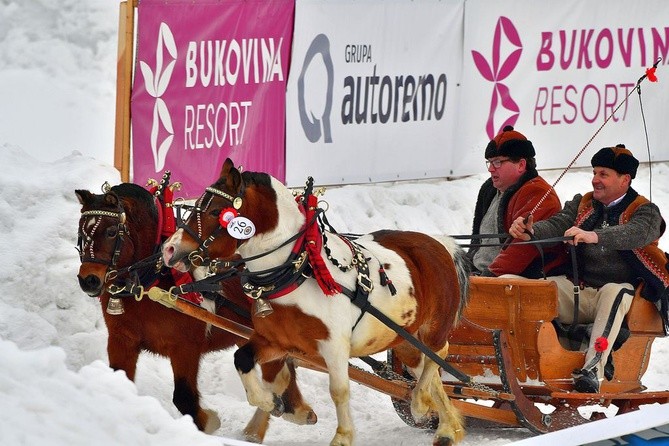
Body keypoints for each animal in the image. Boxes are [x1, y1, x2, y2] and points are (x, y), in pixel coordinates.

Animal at [74, 182, 314, 442]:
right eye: (81, 232)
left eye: (110, 232)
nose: (88, 280)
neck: (152, 281)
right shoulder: (122, 340)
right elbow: (119, 379)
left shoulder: (185, 348)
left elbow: (184, 397)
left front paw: (208, 422)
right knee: (281, 373)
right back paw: (285, 415)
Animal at [160, 160, 470, 446]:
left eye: (215, 211)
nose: (170, 249)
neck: (297, 271)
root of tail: (440, 243)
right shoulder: (277, 341)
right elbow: (243, 359)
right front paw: (271, 403)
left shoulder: (334, 345)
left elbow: (339, 390)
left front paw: (342, 437)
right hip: (403, 337)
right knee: (425, 367)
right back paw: (446, 427)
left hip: (432, 327)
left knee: (440, 352)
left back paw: (419, 402)